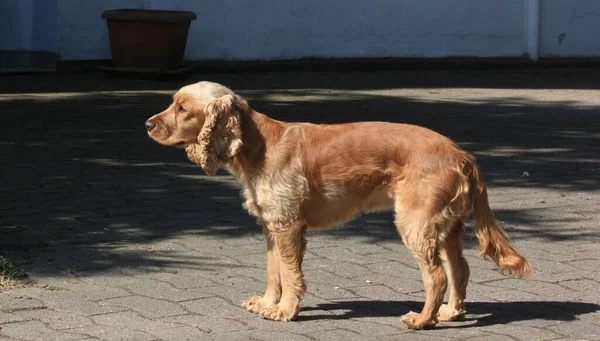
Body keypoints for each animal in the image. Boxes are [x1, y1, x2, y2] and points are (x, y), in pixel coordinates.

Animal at [145, 81, 528, 328]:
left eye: (183, 108)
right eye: (173, 102)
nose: (148, 124)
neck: (259, 145)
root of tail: (460, 153)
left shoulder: (288, 225)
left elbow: (289, 273)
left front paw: (285, 310)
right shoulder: (271, 225)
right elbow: (273, 271)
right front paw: (267, 304)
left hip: (416, 222)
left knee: (436, 275)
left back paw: (423, 319)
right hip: (445, 225)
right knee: (459, 269)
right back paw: (449, 313)